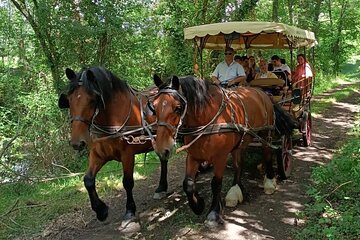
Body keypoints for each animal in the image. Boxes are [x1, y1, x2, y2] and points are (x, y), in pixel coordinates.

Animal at [58, 66, 170, 223]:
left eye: (93, 99)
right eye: (69, 99)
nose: (77, 142)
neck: (112, 122)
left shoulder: (127, 155)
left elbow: (127, 182)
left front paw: (129, 210)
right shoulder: (97, 154)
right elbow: (88, 180)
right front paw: (101, 210)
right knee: (163, 159)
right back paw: (161, 188)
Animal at [152, 75, 296, 227]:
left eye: (178, 108)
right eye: (153, 107)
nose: (162, 149)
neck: (207, 119)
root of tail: (262, 92)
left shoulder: (220, 157)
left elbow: (216, 183)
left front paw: (214, 213)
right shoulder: (193, 156)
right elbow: (188, 184)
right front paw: (199, 205)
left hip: (266, 133)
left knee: (268, 154)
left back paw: (269, 181)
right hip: (241, 142)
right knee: (239, 164)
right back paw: (235, 191)